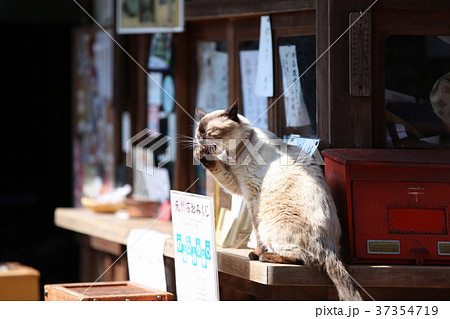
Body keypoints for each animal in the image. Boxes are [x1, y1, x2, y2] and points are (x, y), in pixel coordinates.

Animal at [192, 101, 362, 302]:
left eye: (210, 133)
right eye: (198, 133)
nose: (199, 140)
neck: (237, 153)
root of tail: (331, 249)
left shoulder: (252, 196)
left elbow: (256, 232)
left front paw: (256, 253)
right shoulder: (236, 184)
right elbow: (217, 167)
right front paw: (199, 154)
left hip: (271, 220)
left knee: (302, 258)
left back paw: (266, 256)